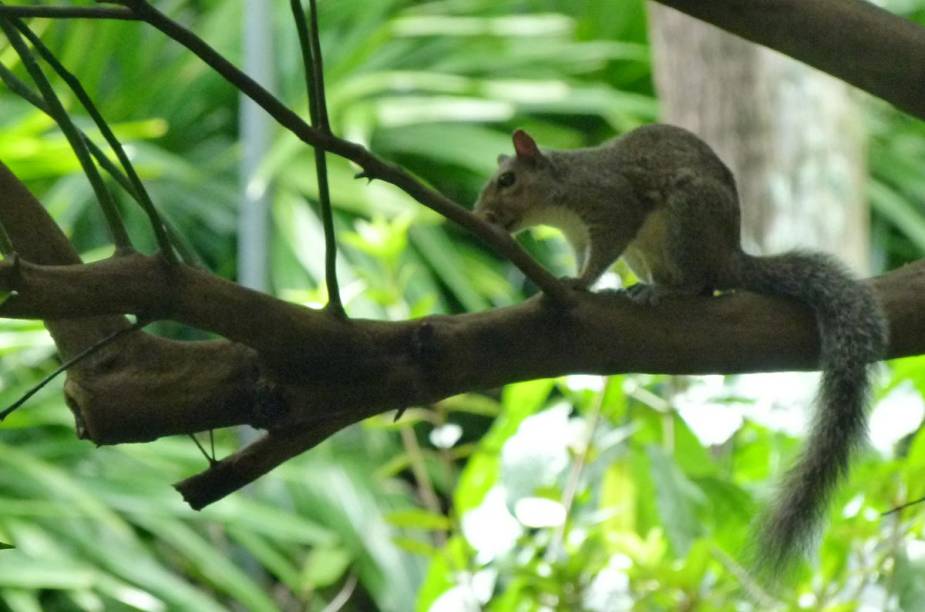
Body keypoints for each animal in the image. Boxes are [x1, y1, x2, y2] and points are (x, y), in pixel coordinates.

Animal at [476, 124, 888, 572]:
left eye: (507, 180)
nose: (480, 214)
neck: (564, 188)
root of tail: (730, 257)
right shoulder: (579, 235)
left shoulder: (613, 206)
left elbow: (600, 254)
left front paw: (578, 284)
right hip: (646, 254)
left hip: (684, 223)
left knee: (699, 285)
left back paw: (665, 293)